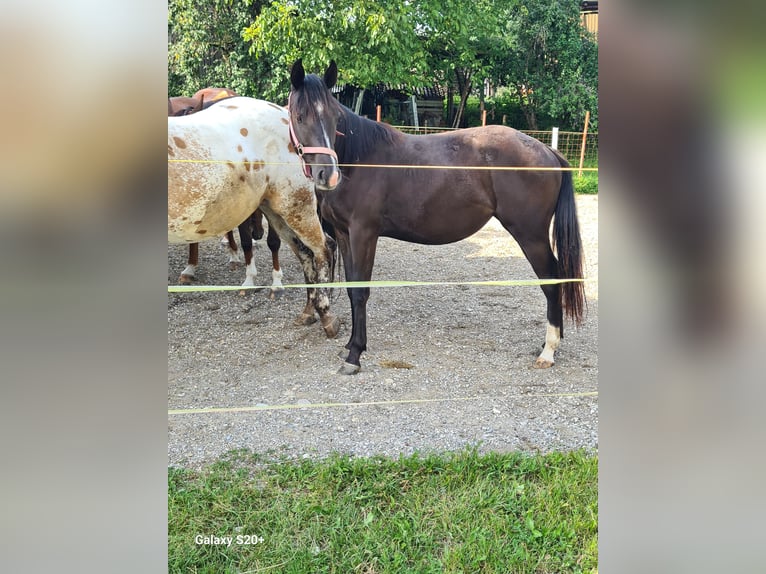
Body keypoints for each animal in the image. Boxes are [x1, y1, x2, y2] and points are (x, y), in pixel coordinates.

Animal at [170, 95, 340, 338]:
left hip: (296, 206)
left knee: (322, 249)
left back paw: (326, 315)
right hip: (273, 209)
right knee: (306, 252)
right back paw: (309, 311)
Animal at [288, 60, 588, 376]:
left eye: (334, 116)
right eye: (299, 116)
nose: (328, 174)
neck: (359, 160)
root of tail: (548, 151)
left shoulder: (363, 234)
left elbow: (361, 292)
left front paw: (355, 354)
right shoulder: (344, 234)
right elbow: (351, 289)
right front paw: (349, 345)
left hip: (531, 236)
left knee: (552, 281)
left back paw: (549, 349)